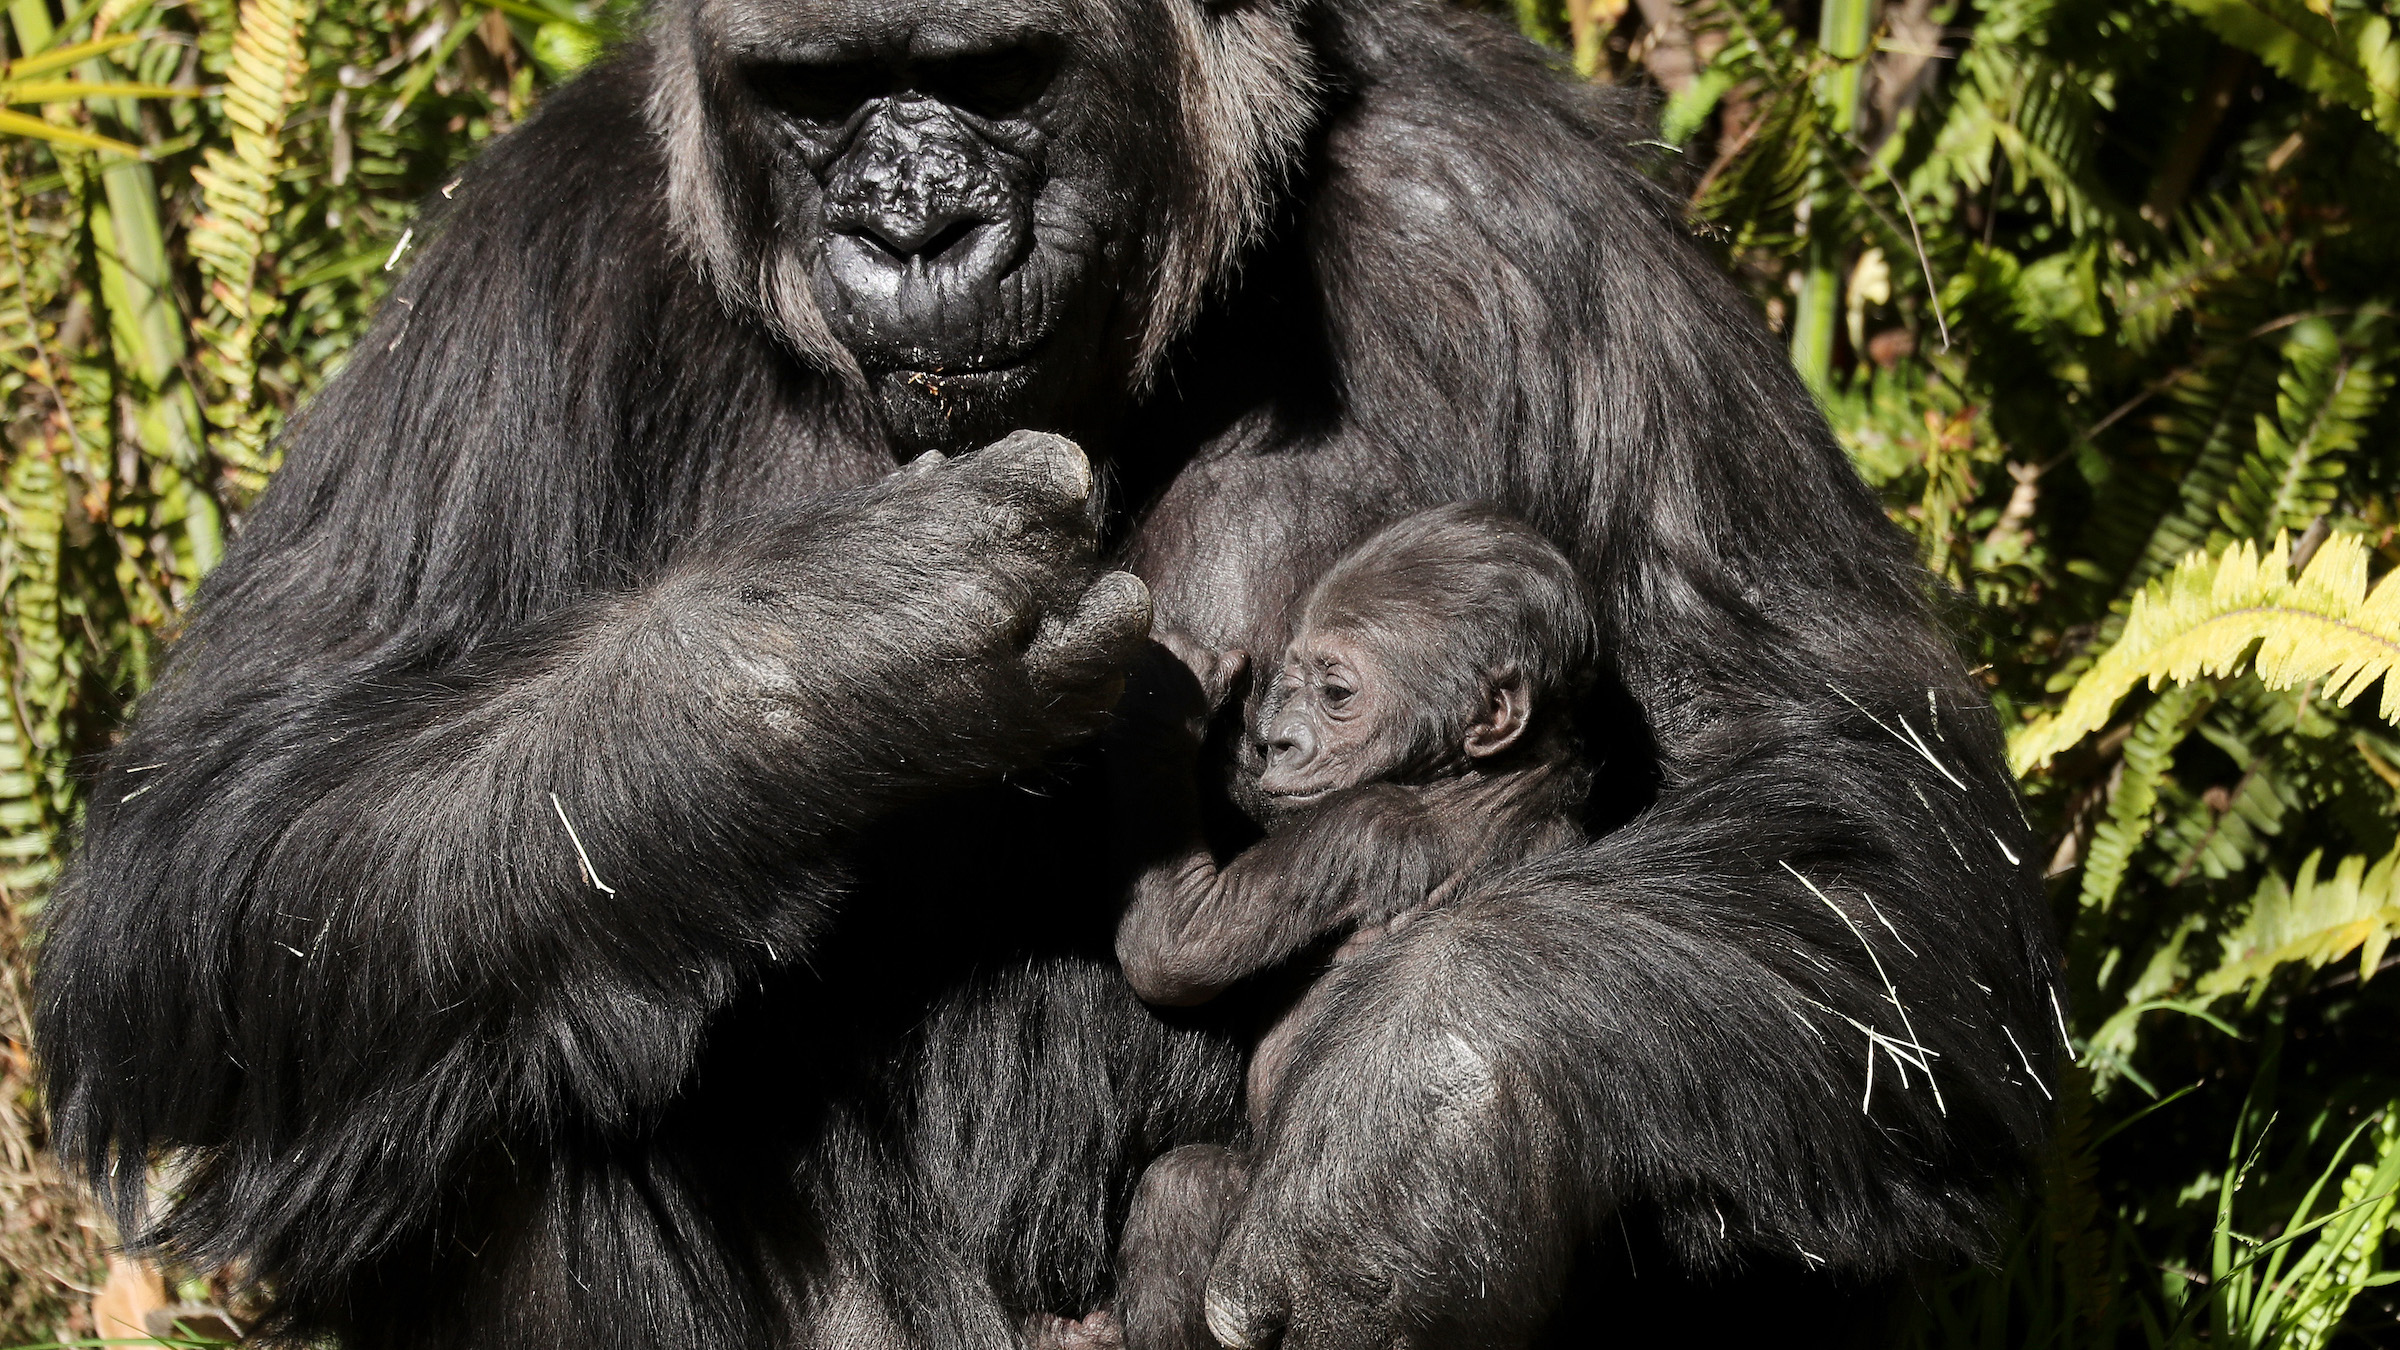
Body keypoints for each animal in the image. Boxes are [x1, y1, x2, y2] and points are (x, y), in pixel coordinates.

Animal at [1113, 502, 1603, 1345]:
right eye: (1294, 680)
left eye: (1336, 692)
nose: (1277, 741)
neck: (1482, 778)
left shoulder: (1356, 828)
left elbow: (1174, 950)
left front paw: (1164, 693)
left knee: (1184, 1189)